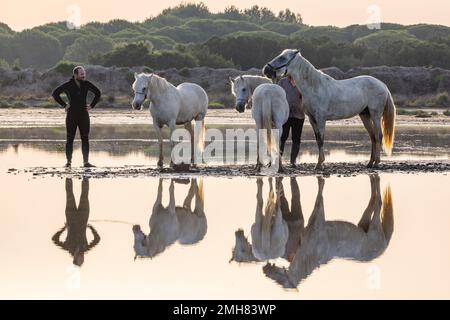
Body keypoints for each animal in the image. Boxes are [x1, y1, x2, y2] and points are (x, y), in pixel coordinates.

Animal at [262, 48, 396, 169]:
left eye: (283, 58)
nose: (266, 70)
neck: (315, 86)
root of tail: (382, 85)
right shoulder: (312, 119)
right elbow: (317, 139)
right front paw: (319, 163)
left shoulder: (321, 118)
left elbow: (321, 139)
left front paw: (319, 164)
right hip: (365, 115)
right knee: (373, 137)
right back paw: (369, 163)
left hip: (375, 115)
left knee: (378, 136)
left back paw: (377, 163)